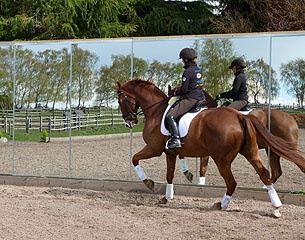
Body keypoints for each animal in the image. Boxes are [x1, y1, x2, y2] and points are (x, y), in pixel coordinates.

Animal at [116, 79, 304, 216]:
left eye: (120, 100)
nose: (129, 122)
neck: (157, 111)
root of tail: (240, 117)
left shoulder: (155, 149)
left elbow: (134, 158)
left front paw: (149, 183)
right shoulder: (172, 152)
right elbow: (170, 174)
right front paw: (167, 197)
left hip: (223, 159)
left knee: (232, 182)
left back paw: (221, 204)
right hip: (253, 152)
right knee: (265, 173)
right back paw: (275, 207)